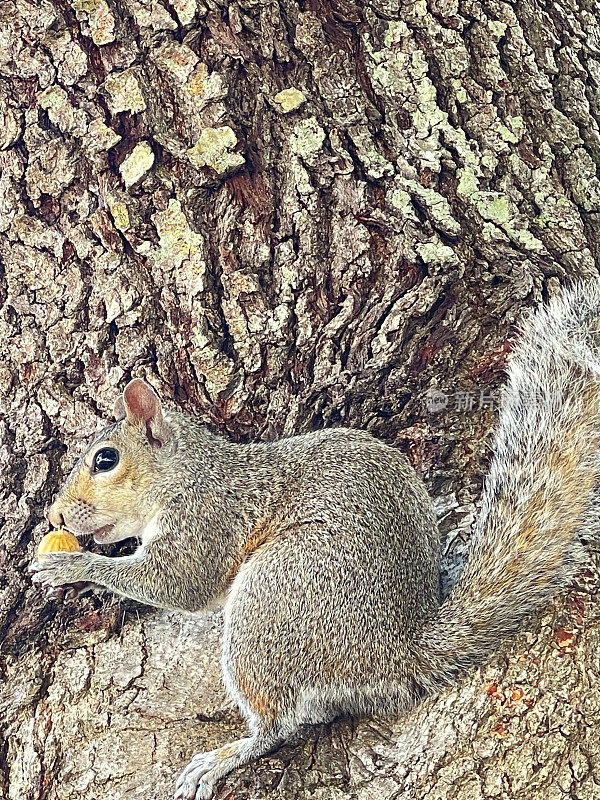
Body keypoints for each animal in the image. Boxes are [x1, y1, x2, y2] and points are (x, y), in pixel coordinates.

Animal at [29, 282, 600, 800]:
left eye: (106, 459)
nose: (55, 513)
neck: (187, 474)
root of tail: (401, 648)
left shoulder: (206, 520)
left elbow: (175, 584)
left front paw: (71, 566)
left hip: (276, 594)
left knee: (279, 725)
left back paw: (226, 756)